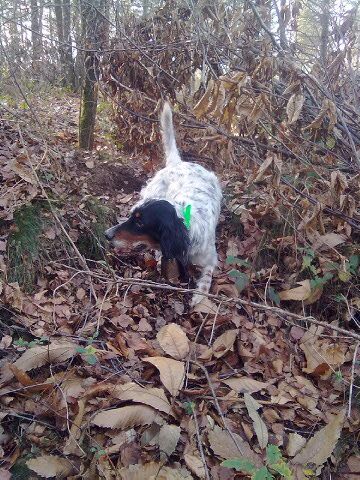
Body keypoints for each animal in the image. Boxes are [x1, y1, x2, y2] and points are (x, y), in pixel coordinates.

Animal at [105, 101, 222, 306]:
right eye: (131, 216)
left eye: (140, 222)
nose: (107, 234)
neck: (186, 224)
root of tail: (179, 163)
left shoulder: (210, 257)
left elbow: (207, 276)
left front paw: (198, 295)